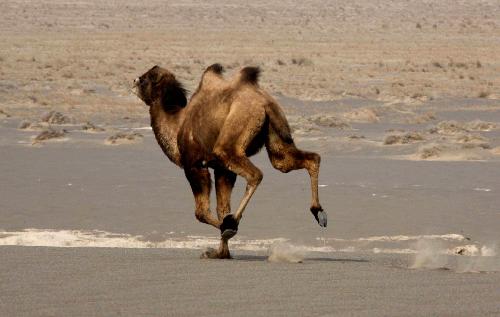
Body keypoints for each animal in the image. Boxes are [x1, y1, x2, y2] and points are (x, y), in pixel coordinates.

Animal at [135, 63, 326, 256]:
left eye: (145, 79)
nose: (134, 80)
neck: (176, 126)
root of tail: (265, 103)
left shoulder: (194, 165)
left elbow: (201, 212)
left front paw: (225, 233)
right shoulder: (222, 169)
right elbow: (222, 208)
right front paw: (220, 253)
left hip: (229, 141)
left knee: (255, 174)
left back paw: (232, 222)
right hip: (276, 140)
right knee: (304, 159)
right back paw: (319, 213)